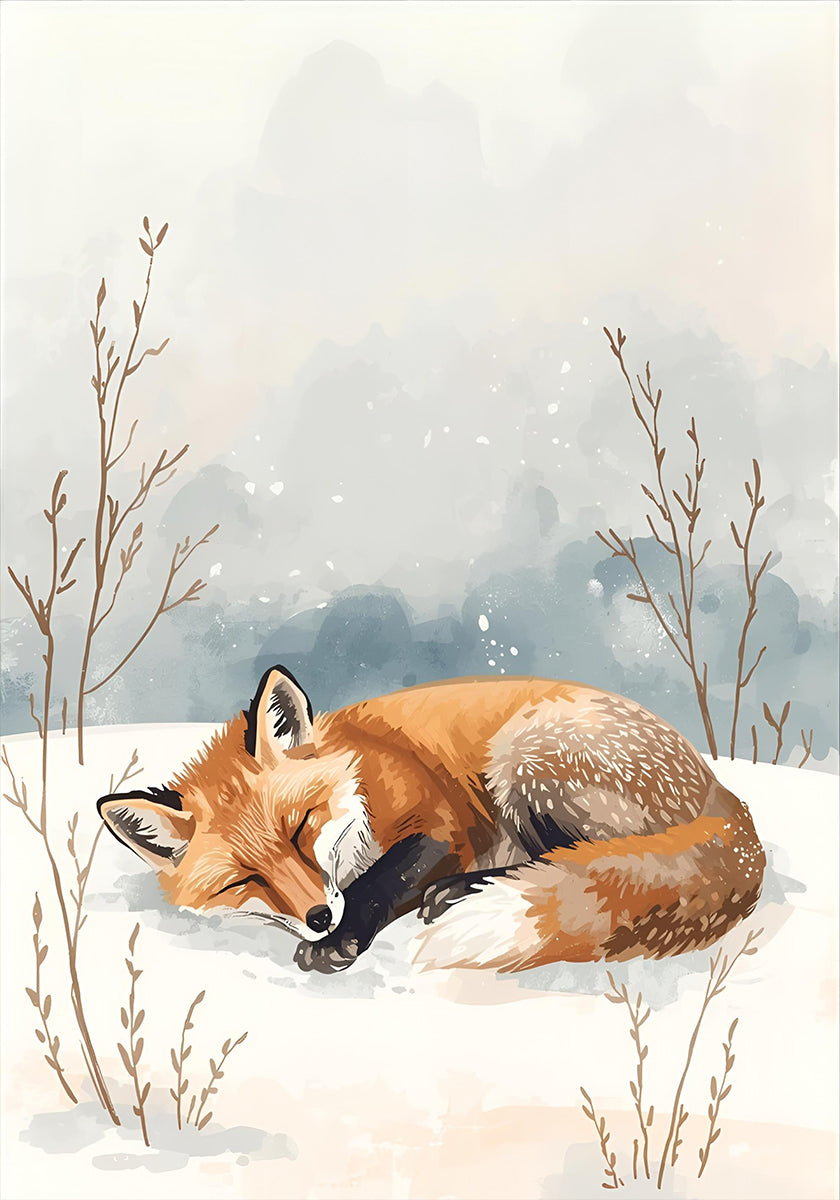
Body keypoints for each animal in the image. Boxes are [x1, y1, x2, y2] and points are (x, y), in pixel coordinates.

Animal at [96, 667, 765, 974]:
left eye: (302, 825)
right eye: (242, 880)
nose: (318, 917)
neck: (359, 772)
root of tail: (721, 792)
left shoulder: (442, 825)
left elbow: (380, 880)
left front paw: (339, 940)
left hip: (522, 760)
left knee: (573, 858)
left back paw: (460, 891)